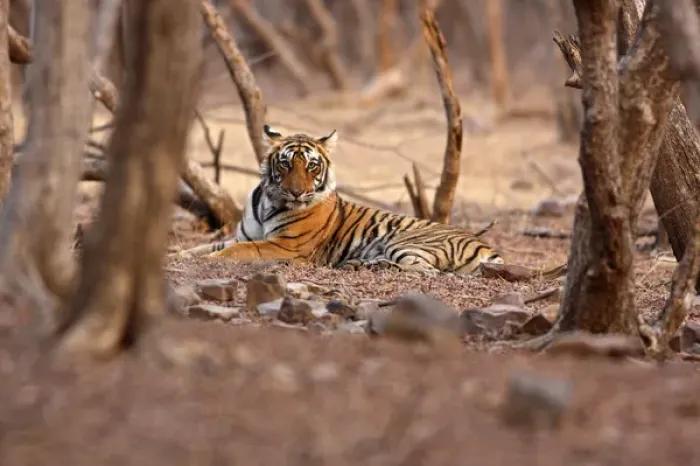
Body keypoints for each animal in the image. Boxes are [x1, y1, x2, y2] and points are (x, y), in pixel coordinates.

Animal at [179, 125, 504, 276]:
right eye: (285, 164)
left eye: (312, 166)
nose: (297, 192)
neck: (268, 202)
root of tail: (485, 245)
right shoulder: (240, 236)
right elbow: (203, 246)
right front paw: (179, 255)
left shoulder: (284, 246)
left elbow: (237, 251)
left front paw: (208, 261)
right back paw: (359, 264)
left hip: (404, 242)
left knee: (427, 271)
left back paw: (370, 266)